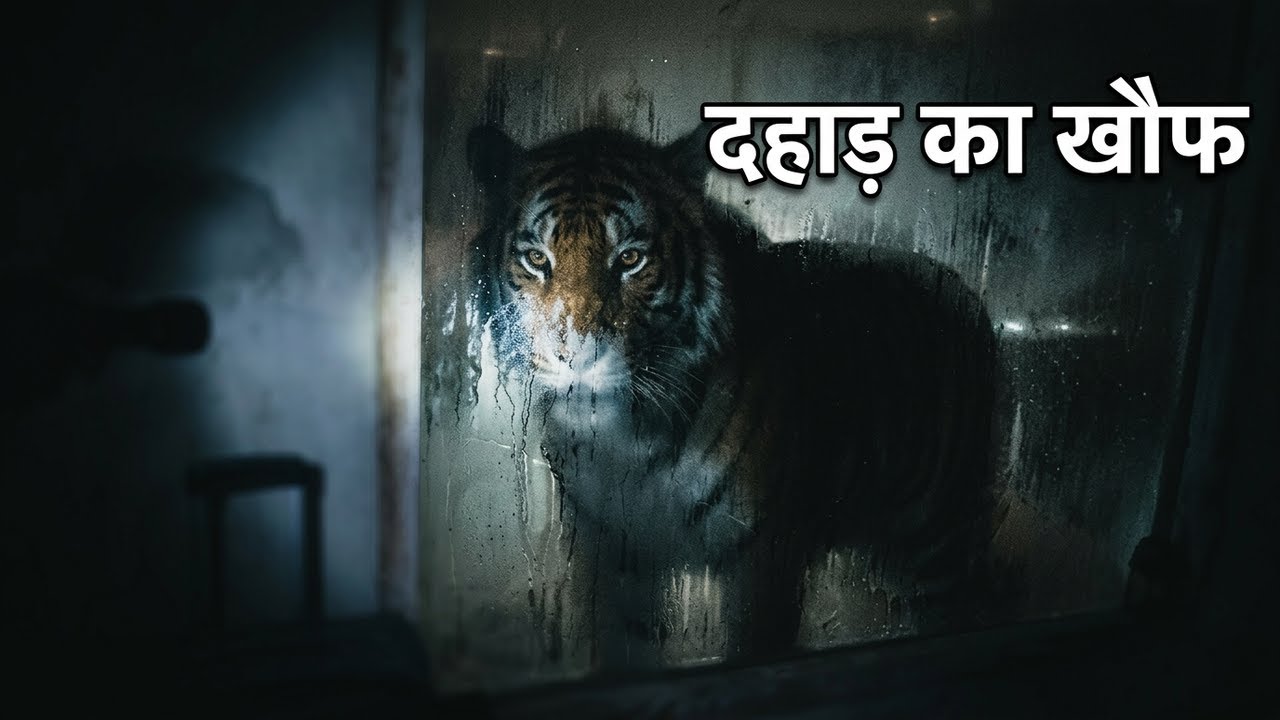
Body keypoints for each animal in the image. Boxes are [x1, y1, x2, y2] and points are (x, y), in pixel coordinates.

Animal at [466, 123, 1001, 671]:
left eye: (631, 259)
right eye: (537, 259)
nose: (575, 354)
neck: (624, 439)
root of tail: (963, 287)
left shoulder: (764, 554)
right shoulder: (612, 548)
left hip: (937, 533)